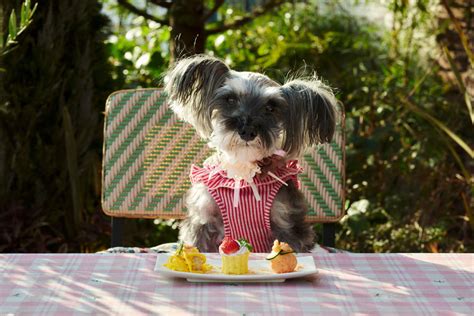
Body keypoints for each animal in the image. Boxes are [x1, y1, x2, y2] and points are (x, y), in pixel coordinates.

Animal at [164, 54, 336, 252]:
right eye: (230, 99)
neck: (242, 170)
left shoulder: (288, 226)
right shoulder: (203, 221)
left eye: (270, 107)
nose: (247, 131)